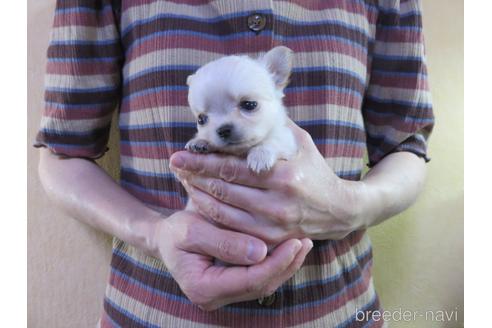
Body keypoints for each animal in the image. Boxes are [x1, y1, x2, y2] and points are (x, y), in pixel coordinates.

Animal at [184, 46, 298, 174]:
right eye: (201, 119)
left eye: (249, 105)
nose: (223, 130)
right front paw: (200, 141)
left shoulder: (286, 140)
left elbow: (272, 140)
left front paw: (260, 155)